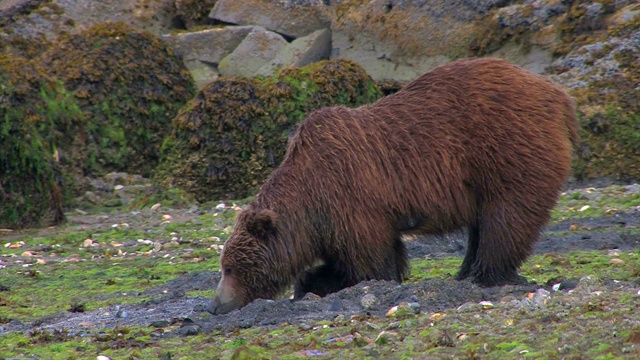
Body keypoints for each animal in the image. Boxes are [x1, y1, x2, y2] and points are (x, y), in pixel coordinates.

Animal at [208, 57, 576, 314]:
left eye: (229, 267)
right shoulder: (337, 218)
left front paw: (328, 283)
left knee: (507, 217)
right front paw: (313, 281)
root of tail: (556, 94)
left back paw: (485, 273)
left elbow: (373, 265)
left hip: (505, 149)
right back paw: (467, 270)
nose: (215, 305)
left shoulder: (351, 198)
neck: (308, 202)